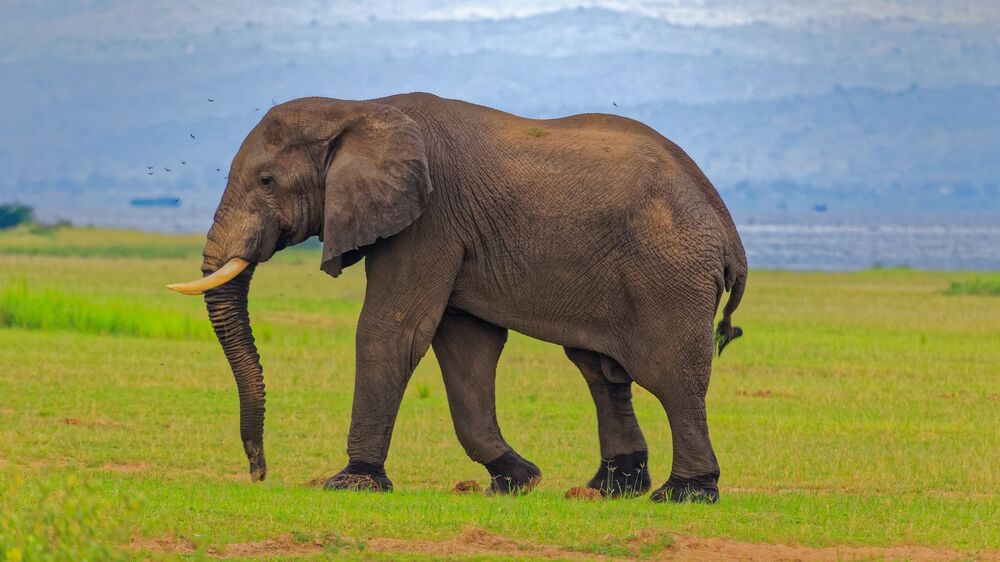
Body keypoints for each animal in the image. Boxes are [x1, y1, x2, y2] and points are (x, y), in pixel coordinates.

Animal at [168, 92, 746, 503]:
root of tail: (725, 223)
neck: (358, 108)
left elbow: (392, 331)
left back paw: (684, 495)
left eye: (267, 181)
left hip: (668, 272)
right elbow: (467, 347)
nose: (259, 471)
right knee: (602, 371)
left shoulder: (429, 218)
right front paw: (517, 480)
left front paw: (350, 483)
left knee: (672, 376)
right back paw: (608, 490)